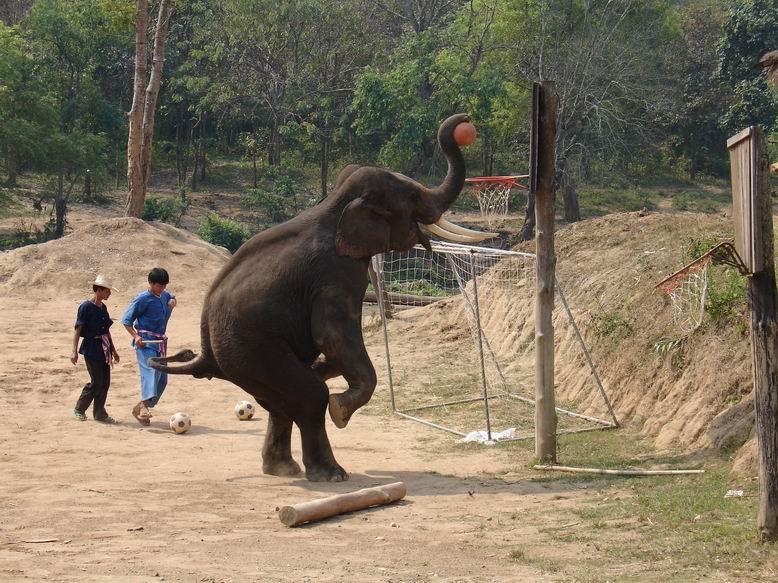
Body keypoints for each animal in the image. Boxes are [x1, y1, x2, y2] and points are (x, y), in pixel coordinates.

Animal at [150, 114, 492, 484]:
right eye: (413, 196)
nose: (466, 122)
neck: (335, 204)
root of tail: (205, 352)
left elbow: (329, 347)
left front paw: (321, 367)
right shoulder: (336, 274)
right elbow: (332, 333)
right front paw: (341, 410)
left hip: (242, 359)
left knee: (278, 403)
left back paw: (283, 469)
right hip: (250, 349)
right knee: (308, 397)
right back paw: (332, 473)